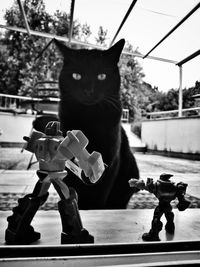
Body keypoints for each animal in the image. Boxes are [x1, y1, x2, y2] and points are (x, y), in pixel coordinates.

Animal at [54, 38, 139, 210]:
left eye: (101, 76)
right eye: (76, 76)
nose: (88, 91)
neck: (90, 117)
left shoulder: (110, 165)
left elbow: (98, 198)